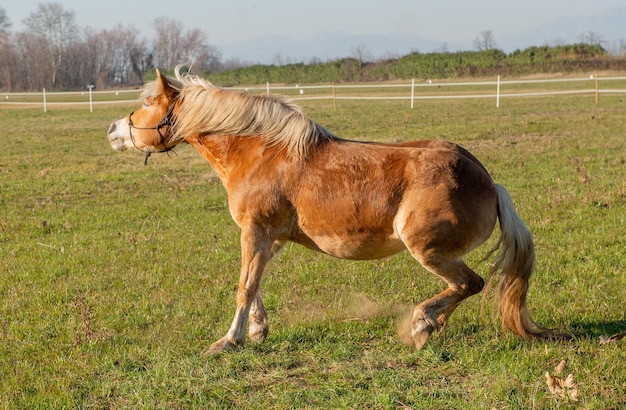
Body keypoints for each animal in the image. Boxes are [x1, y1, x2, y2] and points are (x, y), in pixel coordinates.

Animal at [106, 66, 564, 352]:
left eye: (147, 102)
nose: (112, 130)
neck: (260, 153)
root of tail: (488, 183)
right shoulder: (269, 238)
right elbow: (256, 284)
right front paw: (257, 331)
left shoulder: (255, 231)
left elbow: (244, 286)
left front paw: (228, 341)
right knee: (464, 288)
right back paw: (429, 327)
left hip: (429, 250)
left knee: (470, 283)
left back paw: (421, 324)